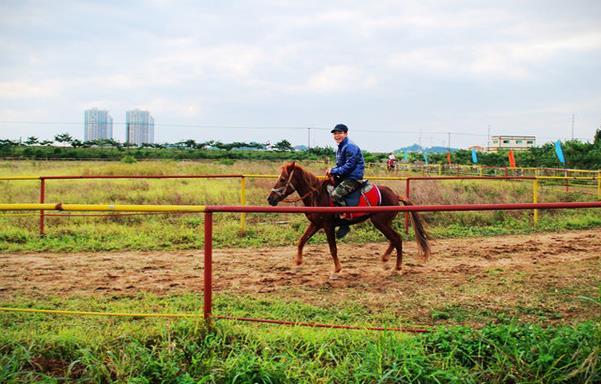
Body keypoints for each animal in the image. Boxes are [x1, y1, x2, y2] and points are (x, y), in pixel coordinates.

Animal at [264, 161, 428, 272]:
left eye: (283, 179)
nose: (270, 199)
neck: (318, 195)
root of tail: (394, 195)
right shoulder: (316, 224)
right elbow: (301, 241)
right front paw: (298, 262)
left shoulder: (328, 226)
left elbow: (332, 248)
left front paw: (336, 269)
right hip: (383, 223)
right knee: (394, 239)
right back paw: (386, 259)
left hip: (380, 222)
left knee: (397, 239)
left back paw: (397, 266)